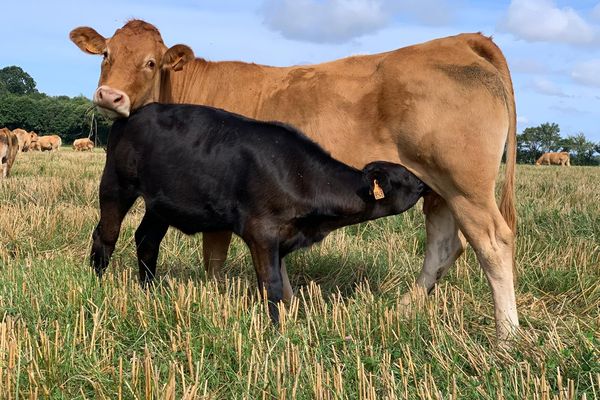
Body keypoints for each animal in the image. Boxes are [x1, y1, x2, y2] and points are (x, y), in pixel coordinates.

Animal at [71, 20, 520, 342]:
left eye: (151, 62)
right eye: (106, 54)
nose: (109, 97)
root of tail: (460, 41)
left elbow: (214, 259)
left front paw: (218, 303)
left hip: (465, 186)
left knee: (493, 243)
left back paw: (507, 337)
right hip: (439, 191)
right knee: (444, 247)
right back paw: (400, 311)